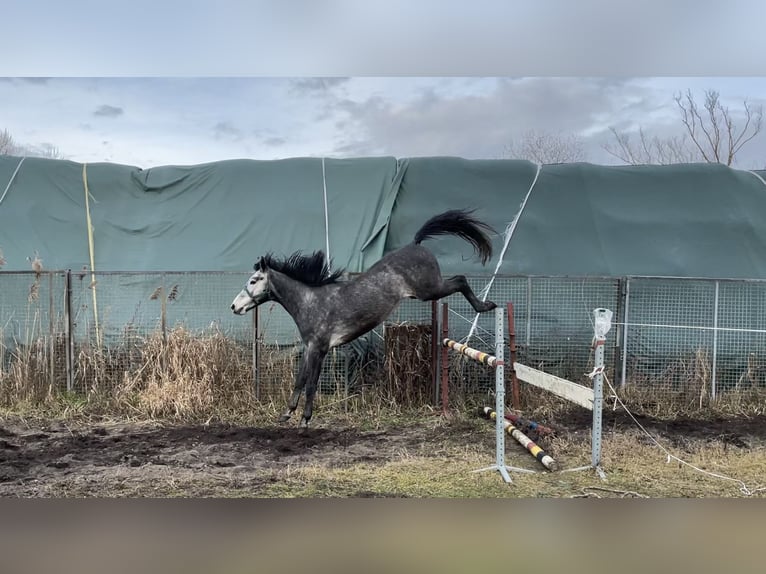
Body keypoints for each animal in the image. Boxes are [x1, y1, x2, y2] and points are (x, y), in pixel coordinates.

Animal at [232, 209, 498, 430]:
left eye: (254, 280)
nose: (234, 306)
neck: (311, 301)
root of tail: (416, 244)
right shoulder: (308, 348)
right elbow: (300, 380)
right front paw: (286, 414)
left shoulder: (319, 349)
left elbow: (311, 384)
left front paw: (305, 420)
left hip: (430, 289)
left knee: (461, 280)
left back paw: (486, 305)